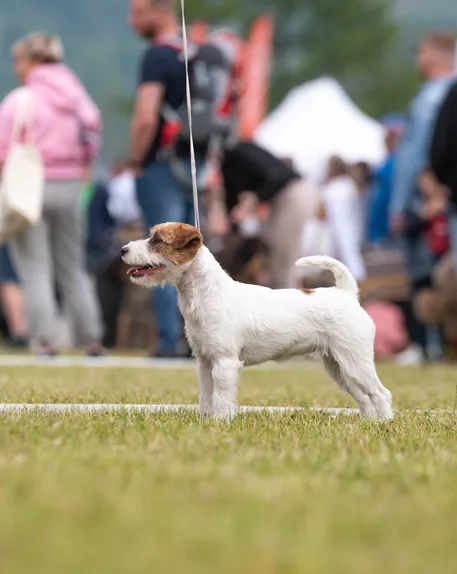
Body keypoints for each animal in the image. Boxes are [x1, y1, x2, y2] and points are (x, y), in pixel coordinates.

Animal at [122, 223, 392, 420]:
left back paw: (384, 424)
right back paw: (368, 423)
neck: (206, 294)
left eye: (158, 240)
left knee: (381, 393)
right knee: (364, 397)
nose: (123, 249)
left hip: (356, 362)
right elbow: (206, 396)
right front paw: (205, 420)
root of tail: (346, 294)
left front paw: (220, 422)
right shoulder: (205, 363)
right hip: (339, 366)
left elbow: (221, 398)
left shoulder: (225, 362)